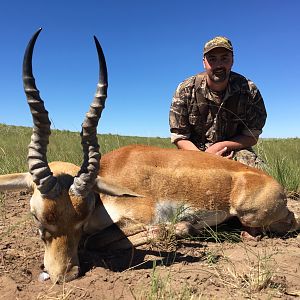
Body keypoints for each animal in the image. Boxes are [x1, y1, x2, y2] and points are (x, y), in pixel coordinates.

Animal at [0, 29, 300, 284]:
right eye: (37, 216)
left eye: (80, 219)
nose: (65, 274)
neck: (104, 189)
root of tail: (274, 184)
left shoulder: (145, 216)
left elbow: (96, 240)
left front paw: (181, 229)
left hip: (250, 215)